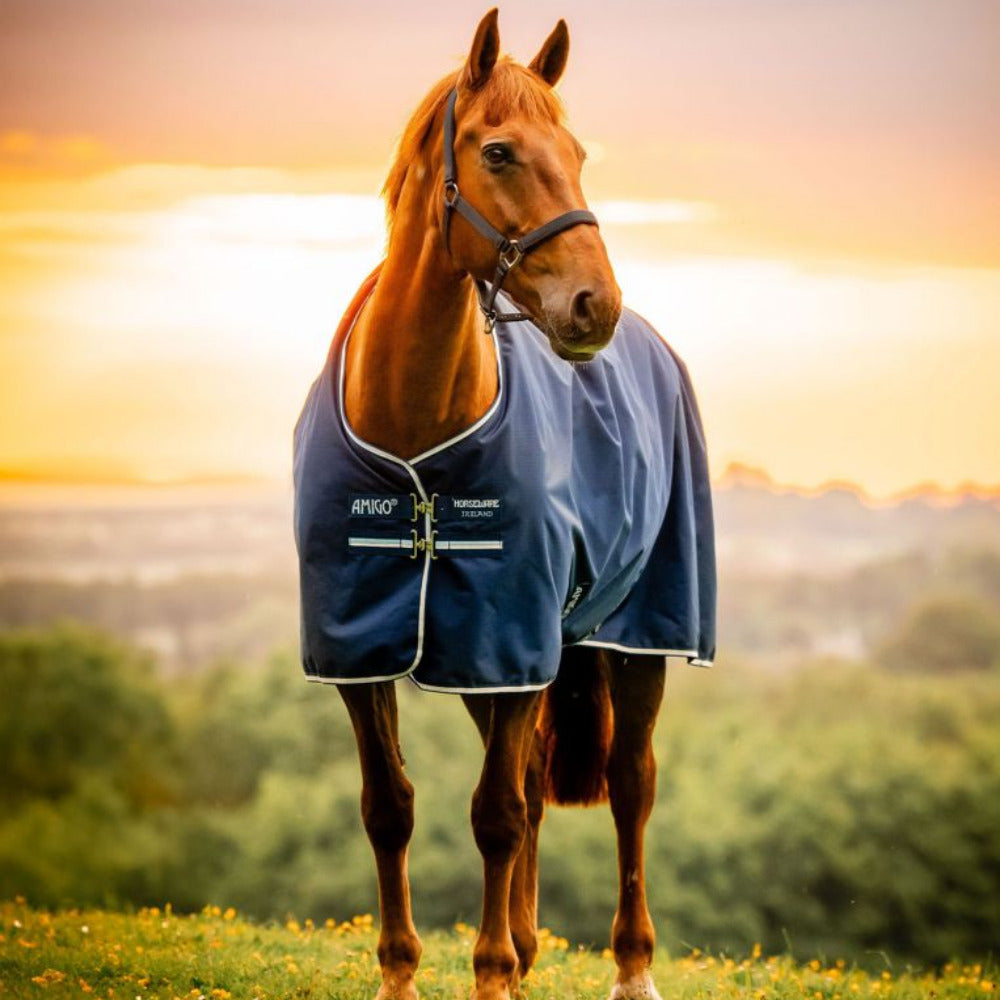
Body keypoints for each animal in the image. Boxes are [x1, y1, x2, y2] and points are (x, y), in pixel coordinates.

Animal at [292, 10, 716, 1000]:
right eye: (498, 151)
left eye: (579, 151)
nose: (594, 305)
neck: (414, 431)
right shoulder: (374, 650)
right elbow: (391, 807)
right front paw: (406, 975)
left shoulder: (509, 632)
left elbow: (494, 813)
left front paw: (488, 976)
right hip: (502, 667)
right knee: (529, 788)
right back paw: (524, 948)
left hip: (636, 637)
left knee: (629, 784)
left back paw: (629, 966)